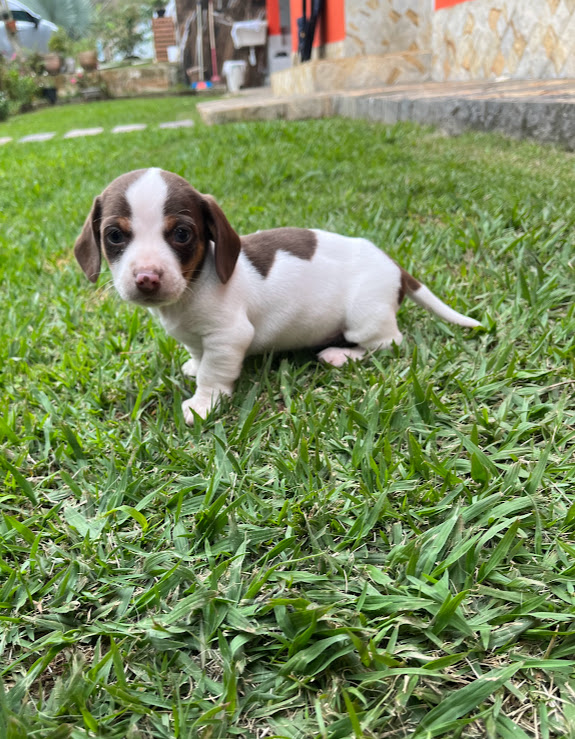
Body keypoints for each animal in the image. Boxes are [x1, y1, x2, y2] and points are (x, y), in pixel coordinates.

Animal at [74, 168, 480, 425]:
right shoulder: (196, 337)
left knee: (389, 343)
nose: (146, 278)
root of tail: (394, 265)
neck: (192, 287)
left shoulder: (229, 336)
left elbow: (214, 373)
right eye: (114, 236)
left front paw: (203, 404)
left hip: (365, 319)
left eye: (182, 234)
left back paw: (341, 355)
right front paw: (193, 366)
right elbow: (199, 356)